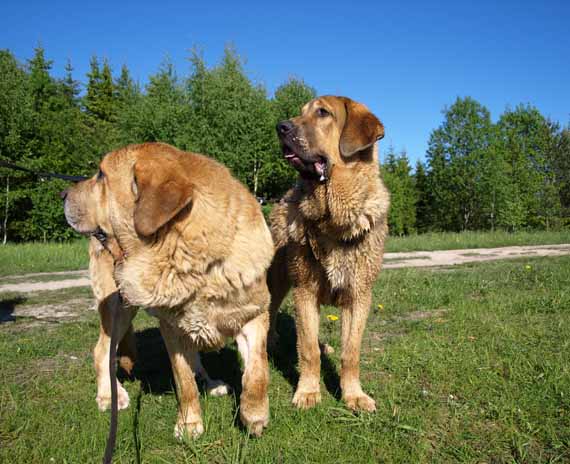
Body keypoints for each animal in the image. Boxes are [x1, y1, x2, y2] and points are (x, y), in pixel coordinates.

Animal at [266, 96, 386, 412]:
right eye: (301, 112)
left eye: (322, 112)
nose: (281, 126)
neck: (332, 219)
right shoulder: (304, 291)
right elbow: (308, 349)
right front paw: (308, 392)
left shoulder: (359, 296)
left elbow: (350, 352)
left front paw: (354, 395)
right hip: (277, 280)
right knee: (269, 313)